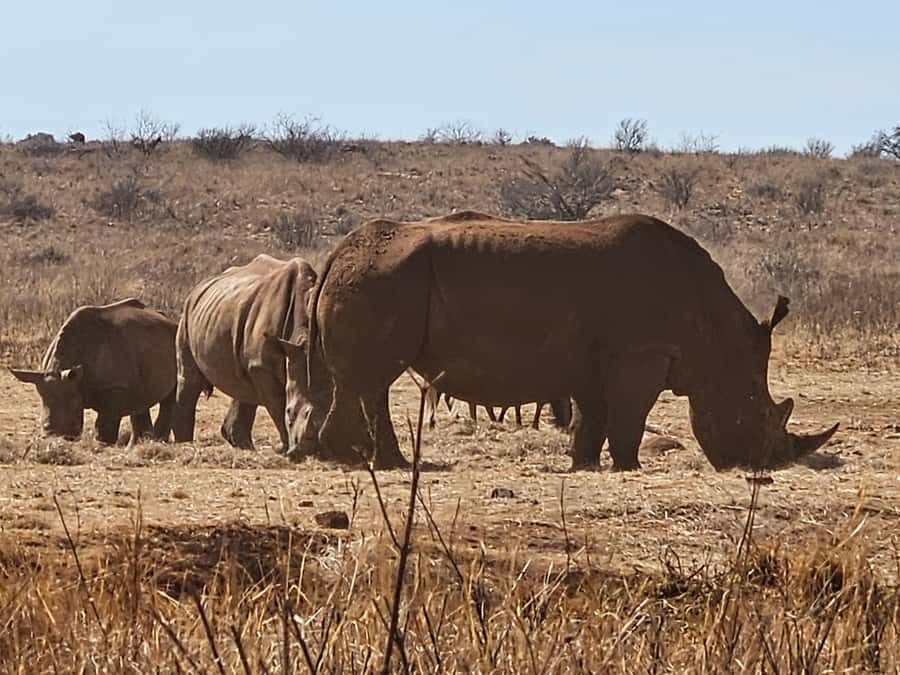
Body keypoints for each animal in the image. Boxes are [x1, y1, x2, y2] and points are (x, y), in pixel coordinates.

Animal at [9, 298, 177, 444]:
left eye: (72, 400)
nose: (51, 435)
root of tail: (171, 321)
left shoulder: (114, 386)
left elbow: (105, 420)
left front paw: (102, 442)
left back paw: (157, 441)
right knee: (141, 398)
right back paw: (138, 444)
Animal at [172, 255, 325, 456]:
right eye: (290, 412)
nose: (309, 449)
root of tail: (197, 288)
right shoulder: (261, 366)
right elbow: (278, 405)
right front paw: (285, 448)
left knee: (243, 387)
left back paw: (245, 447)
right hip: (187, 316)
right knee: (189, 379)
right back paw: (185, 444)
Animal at [286, 211, 838, 471]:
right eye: (758, 411)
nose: (766, 463)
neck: (717, 337)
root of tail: (337, 254)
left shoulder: (597, 358)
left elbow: (593, 415)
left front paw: (584, 464)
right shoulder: (642, 351)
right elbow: (629, 415)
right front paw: (629, 466)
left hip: (373, 276)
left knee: (363, 381)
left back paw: (363, 460)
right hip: (379, 278)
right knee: (371, 379)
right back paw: (374, 462)